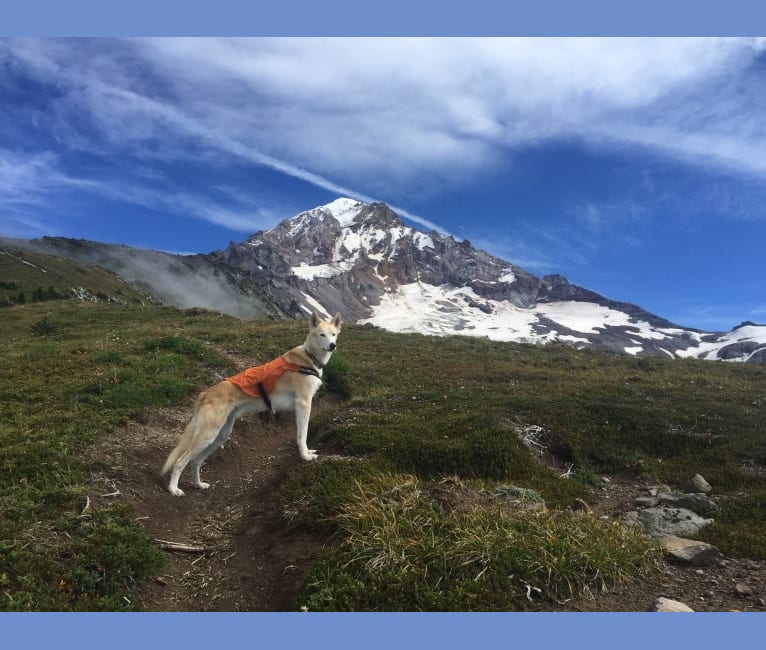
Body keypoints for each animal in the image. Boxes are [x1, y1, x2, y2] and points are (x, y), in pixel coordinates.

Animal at [161, 312, 342, 494]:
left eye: (333, 334)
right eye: (322, 335)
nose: (332, 345)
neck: (309, 357)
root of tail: (206, 393)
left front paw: (308, 452)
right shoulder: (303, 404)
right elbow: (302, 435)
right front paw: (305, 456)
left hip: (219, 436)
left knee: (196, 461)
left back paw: (198, 484)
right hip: (207, 435)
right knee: (180, 461)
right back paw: (173, 489)